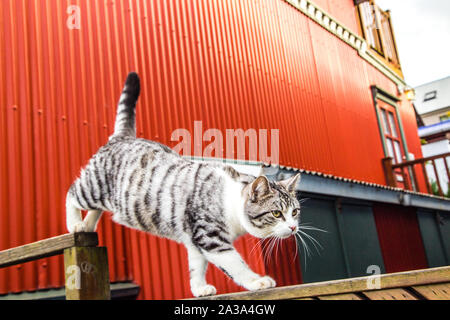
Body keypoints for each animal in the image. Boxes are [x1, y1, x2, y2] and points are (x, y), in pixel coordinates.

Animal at [65, 72, 300, 298]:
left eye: (295, 212)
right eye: (277, 213)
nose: (293, 227)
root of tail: (122, 138)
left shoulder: (194, 239)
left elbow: (196, 266)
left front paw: (199, 288)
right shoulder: (210, 236)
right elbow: (235, 263)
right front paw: (256, 281)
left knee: (95, 208)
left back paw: (87, 225)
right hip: (94, 186)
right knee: (72, 193)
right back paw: (75, 224)